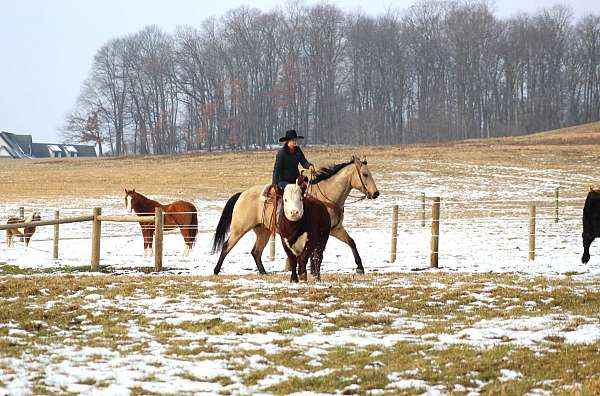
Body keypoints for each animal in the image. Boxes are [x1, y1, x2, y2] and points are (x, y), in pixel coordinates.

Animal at [212, 155, 380, 276]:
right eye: (365, 174)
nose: (375, 193)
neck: (326, 198)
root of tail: (242, 194)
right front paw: (312, 270)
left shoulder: (335, 229)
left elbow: (351, 242)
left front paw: (360, 267)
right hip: (239, 229)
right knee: (227, 246)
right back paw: (216, 270)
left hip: (263, 231)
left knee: (256, 252)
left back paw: (264, 272)